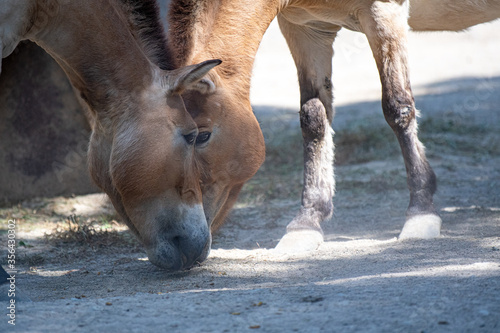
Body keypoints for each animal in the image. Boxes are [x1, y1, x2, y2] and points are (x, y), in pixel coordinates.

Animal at [167, 0, 500, 249]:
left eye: (202, 136)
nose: (186, 239)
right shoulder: (306, 28)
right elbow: (314, 117)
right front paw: (307, 222)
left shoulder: (384, 15)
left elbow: (398, 108)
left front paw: (421, 213)